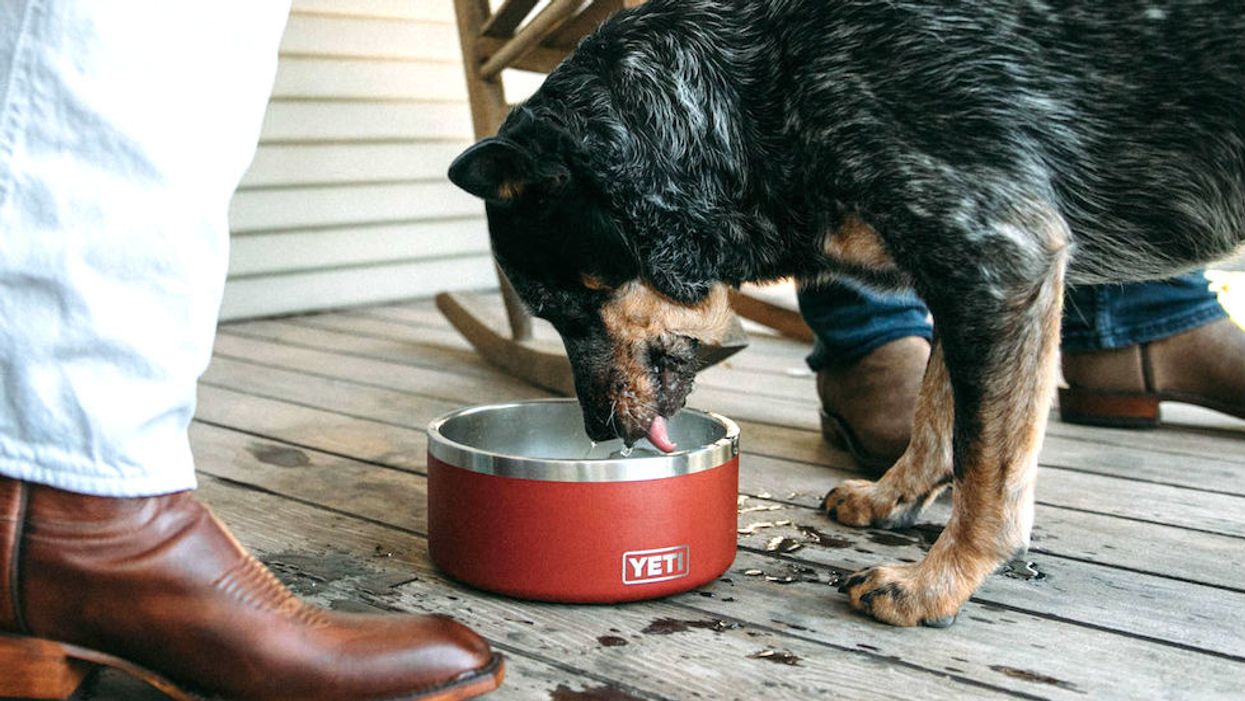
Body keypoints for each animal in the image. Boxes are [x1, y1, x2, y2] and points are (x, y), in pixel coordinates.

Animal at [450, 0, 1245, 625]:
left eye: (562, 304)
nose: (593, 428)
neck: (761, 88)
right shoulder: (959, 269)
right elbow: (936, 411)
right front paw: (896, 496)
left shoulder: (1000, 260)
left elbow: (986, 463)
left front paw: (938, 583)